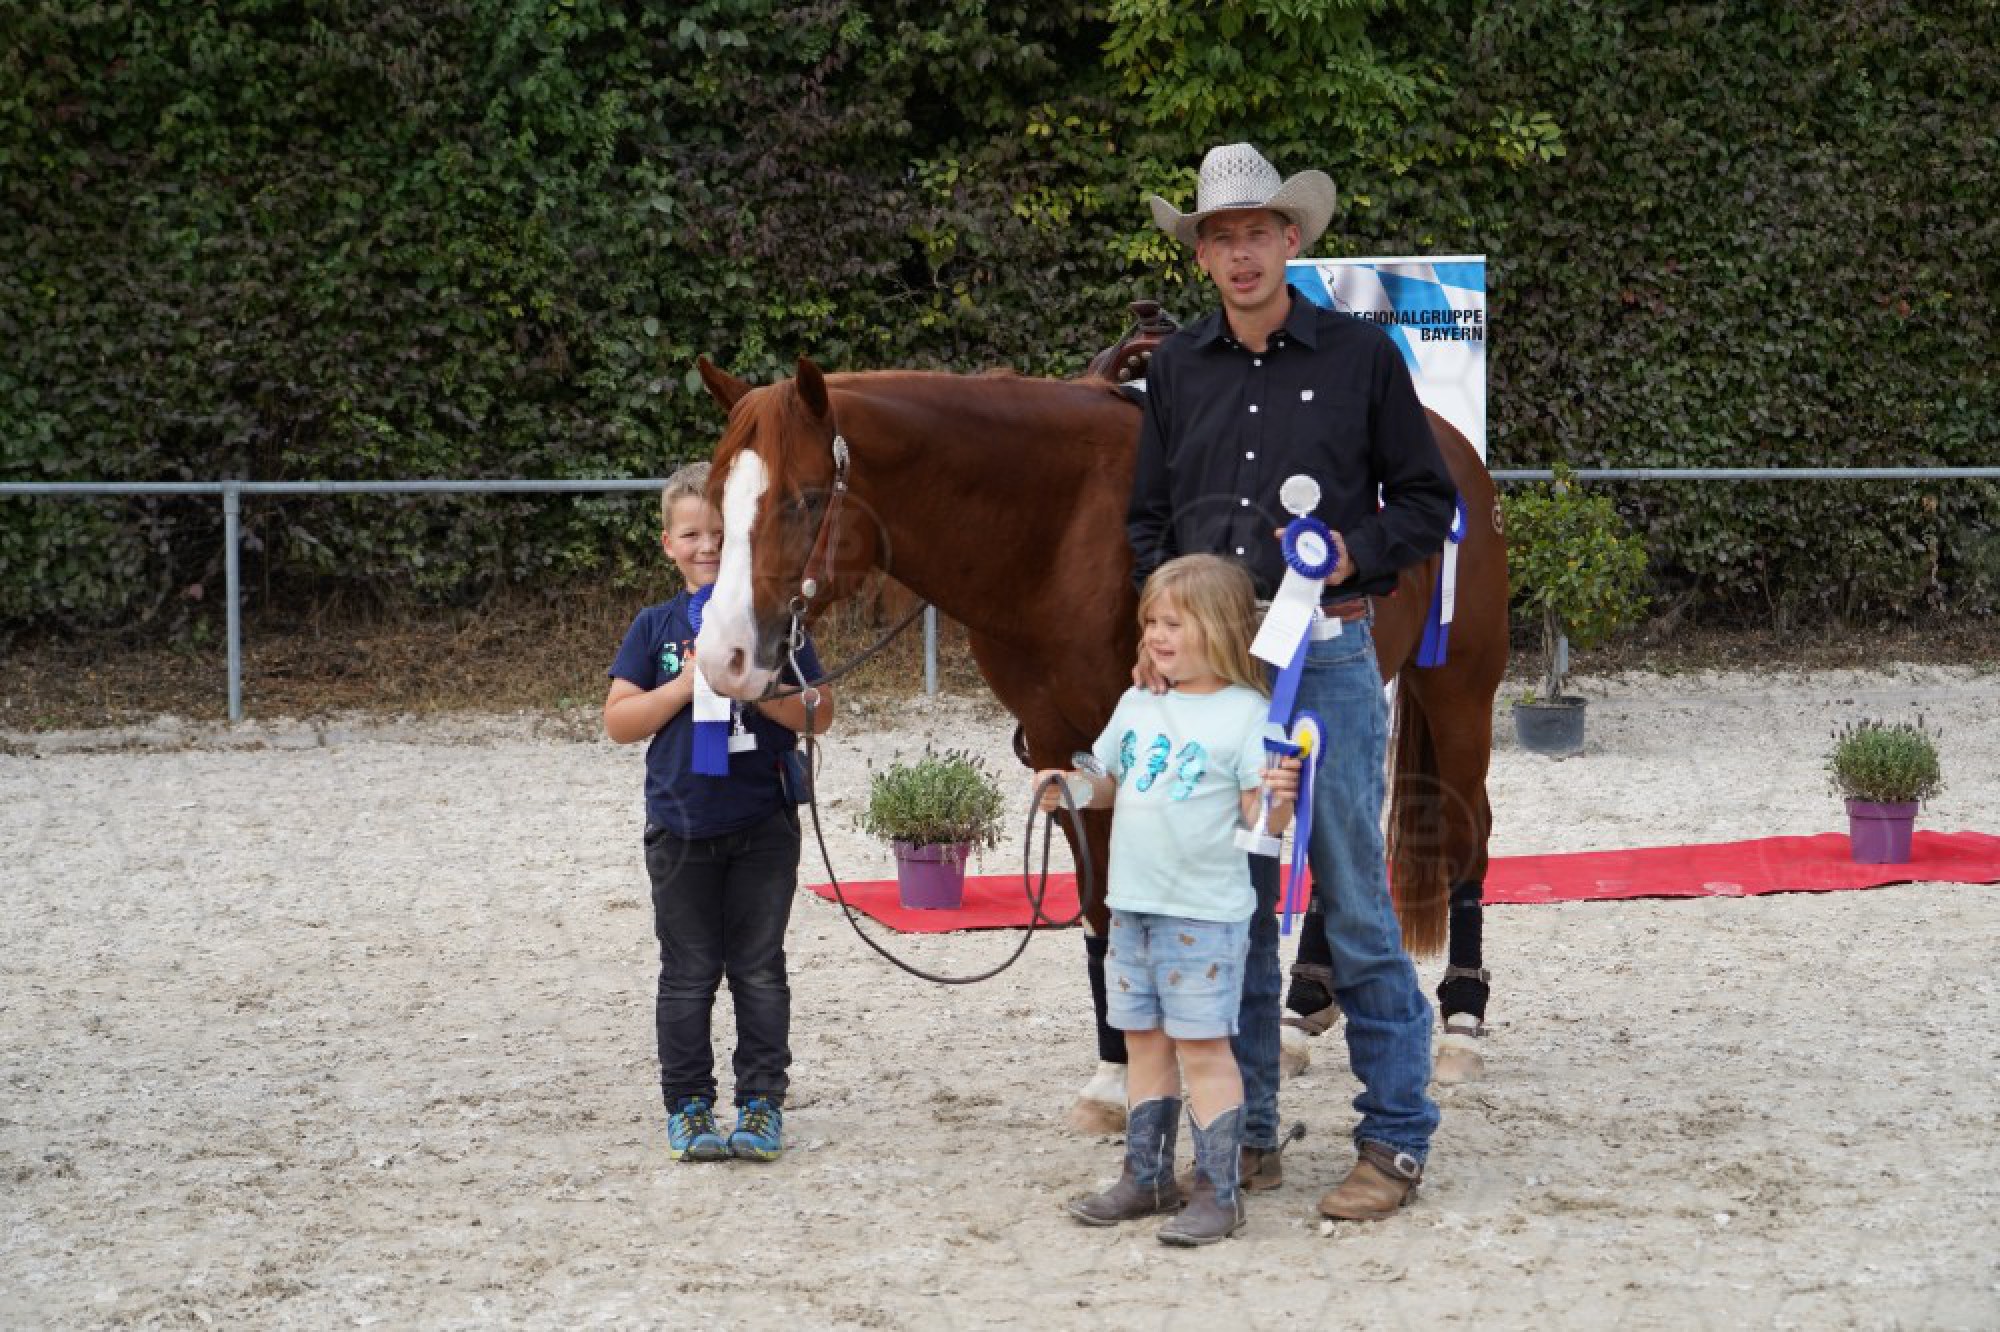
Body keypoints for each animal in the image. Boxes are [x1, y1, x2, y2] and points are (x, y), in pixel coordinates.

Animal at [691, 350, 1508, 1128]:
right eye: (719, 499)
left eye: (801, 499)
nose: (724, 656)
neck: (1058, 534)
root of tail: (1449, 444)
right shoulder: (1064, 752)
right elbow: (1100, 912)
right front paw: (1117, 1076)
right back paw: (1305, 1010)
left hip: (1458, 697)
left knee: (1467, 831)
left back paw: (1462, 1026)